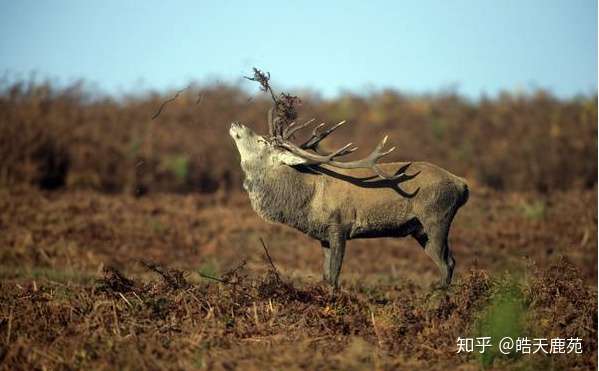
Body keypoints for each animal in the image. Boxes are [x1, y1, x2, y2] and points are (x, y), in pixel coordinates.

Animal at [230, 70, 468, 290]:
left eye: (262, 141)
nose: (236, 123)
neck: (305, 201)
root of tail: (462, 185)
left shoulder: (340, 226)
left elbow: (334, 277)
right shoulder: (323, 236)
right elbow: (326, 277)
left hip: (436, 217)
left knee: (446, 263)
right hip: (419, 229)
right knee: (450, 260)